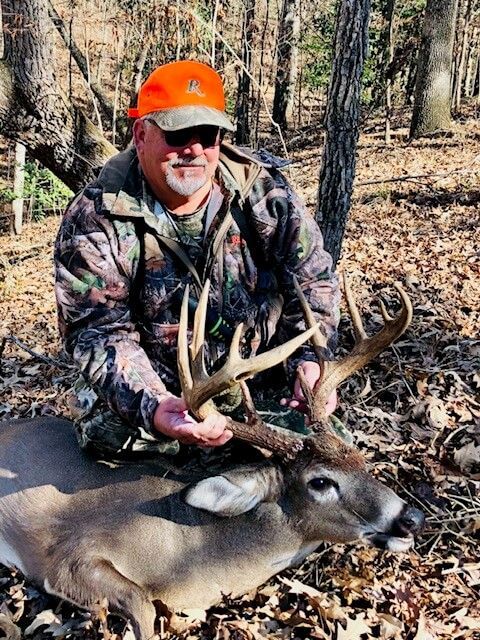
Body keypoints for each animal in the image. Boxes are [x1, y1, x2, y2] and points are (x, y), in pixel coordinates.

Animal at [0, 278, 424, 640]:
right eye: (320, 481)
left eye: (362, 461)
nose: (412, 517)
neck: (189, 554)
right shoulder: (68, 555)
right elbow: (142, 605)